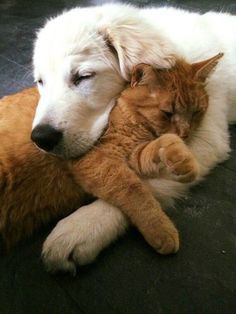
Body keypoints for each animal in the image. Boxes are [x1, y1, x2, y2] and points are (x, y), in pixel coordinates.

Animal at [32, 2, 236, 274]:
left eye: (83, 77)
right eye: (40, 82)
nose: (40, 138)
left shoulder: (206, 137)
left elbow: (142, 183)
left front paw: (84, 226)